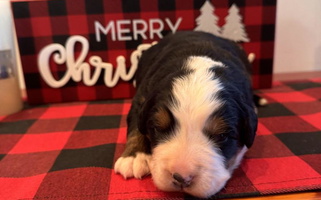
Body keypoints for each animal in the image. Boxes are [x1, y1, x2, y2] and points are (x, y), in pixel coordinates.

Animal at [114, 31, 256, 198]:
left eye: (222, 136)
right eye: (158, 128)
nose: (181, 178)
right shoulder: (142, 96)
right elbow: (136, 125)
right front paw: (133, 157)